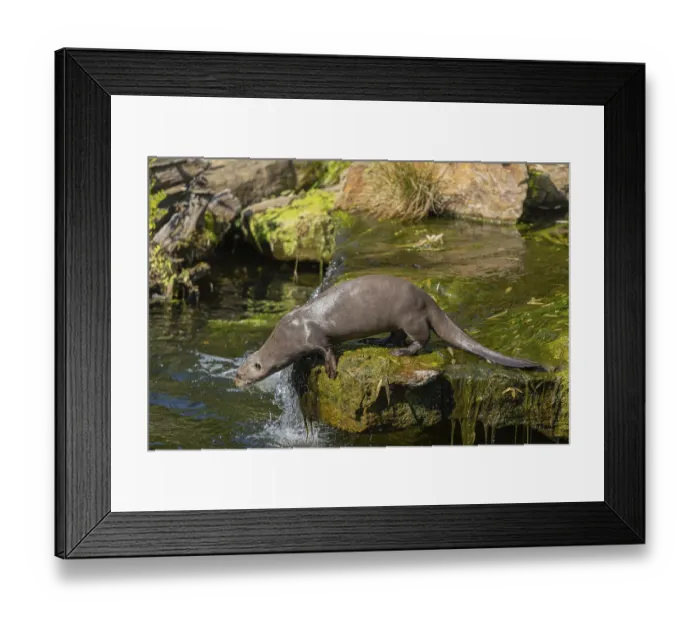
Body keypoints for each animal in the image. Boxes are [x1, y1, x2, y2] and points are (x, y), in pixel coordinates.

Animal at [234, 275, 546, 387]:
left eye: (241, 374)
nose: (235, 382)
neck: (288, 335)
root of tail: (429, 299)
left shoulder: (316, 335)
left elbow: (328, 350)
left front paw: (331, 371)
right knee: (400, 334)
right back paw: (384, 342)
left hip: (411, 316)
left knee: (422, 339)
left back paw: (402, 351)